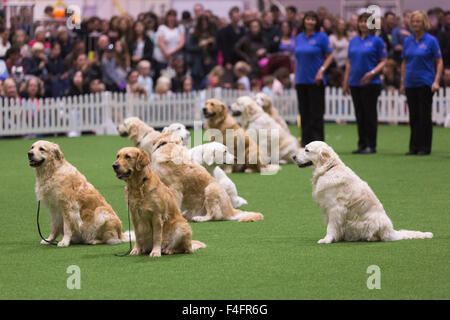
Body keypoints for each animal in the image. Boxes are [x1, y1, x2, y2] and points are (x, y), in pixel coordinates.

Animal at [292, 141, 432, 244]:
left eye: (307, 150)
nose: (293, 156)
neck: (329, 169)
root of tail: (391, 232)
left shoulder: (336, 208)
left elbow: (331, 226)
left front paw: (327, 239)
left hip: (363, 223)